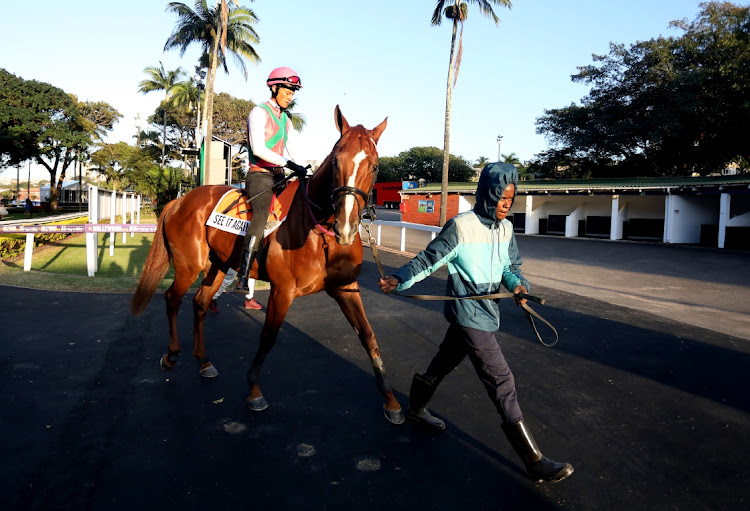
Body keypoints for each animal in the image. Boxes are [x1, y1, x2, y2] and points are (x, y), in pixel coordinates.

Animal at [134, 106, 406, 426]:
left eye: (375, 167)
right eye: (336, 161)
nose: (347, 227)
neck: (319, 231)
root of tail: (179, 201)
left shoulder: (346, 288)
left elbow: (368, 336)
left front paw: (391, 400)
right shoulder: (282, 290)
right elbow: (268, 337)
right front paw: (254, 390)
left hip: (217, 266)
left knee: (199, 303)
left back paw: (203, 361)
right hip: (189, 265)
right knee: (172, 299)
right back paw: (172, 355)